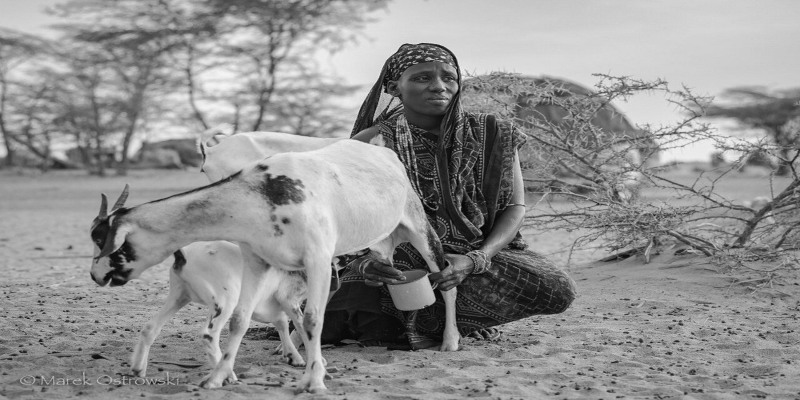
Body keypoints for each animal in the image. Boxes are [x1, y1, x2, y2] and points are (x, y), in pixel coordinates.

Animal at [128, 241, 307, 378]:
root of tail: (184, 255)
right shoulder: (288, 300)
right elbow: (300, 325)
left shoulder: (270, 309)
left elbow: (282, 324)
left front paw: (294, 358)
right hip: (224, 302)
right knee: (208, 335)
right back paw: (228, 376)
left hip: (179, 296)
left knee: (150, 327)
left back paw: (138, 370)